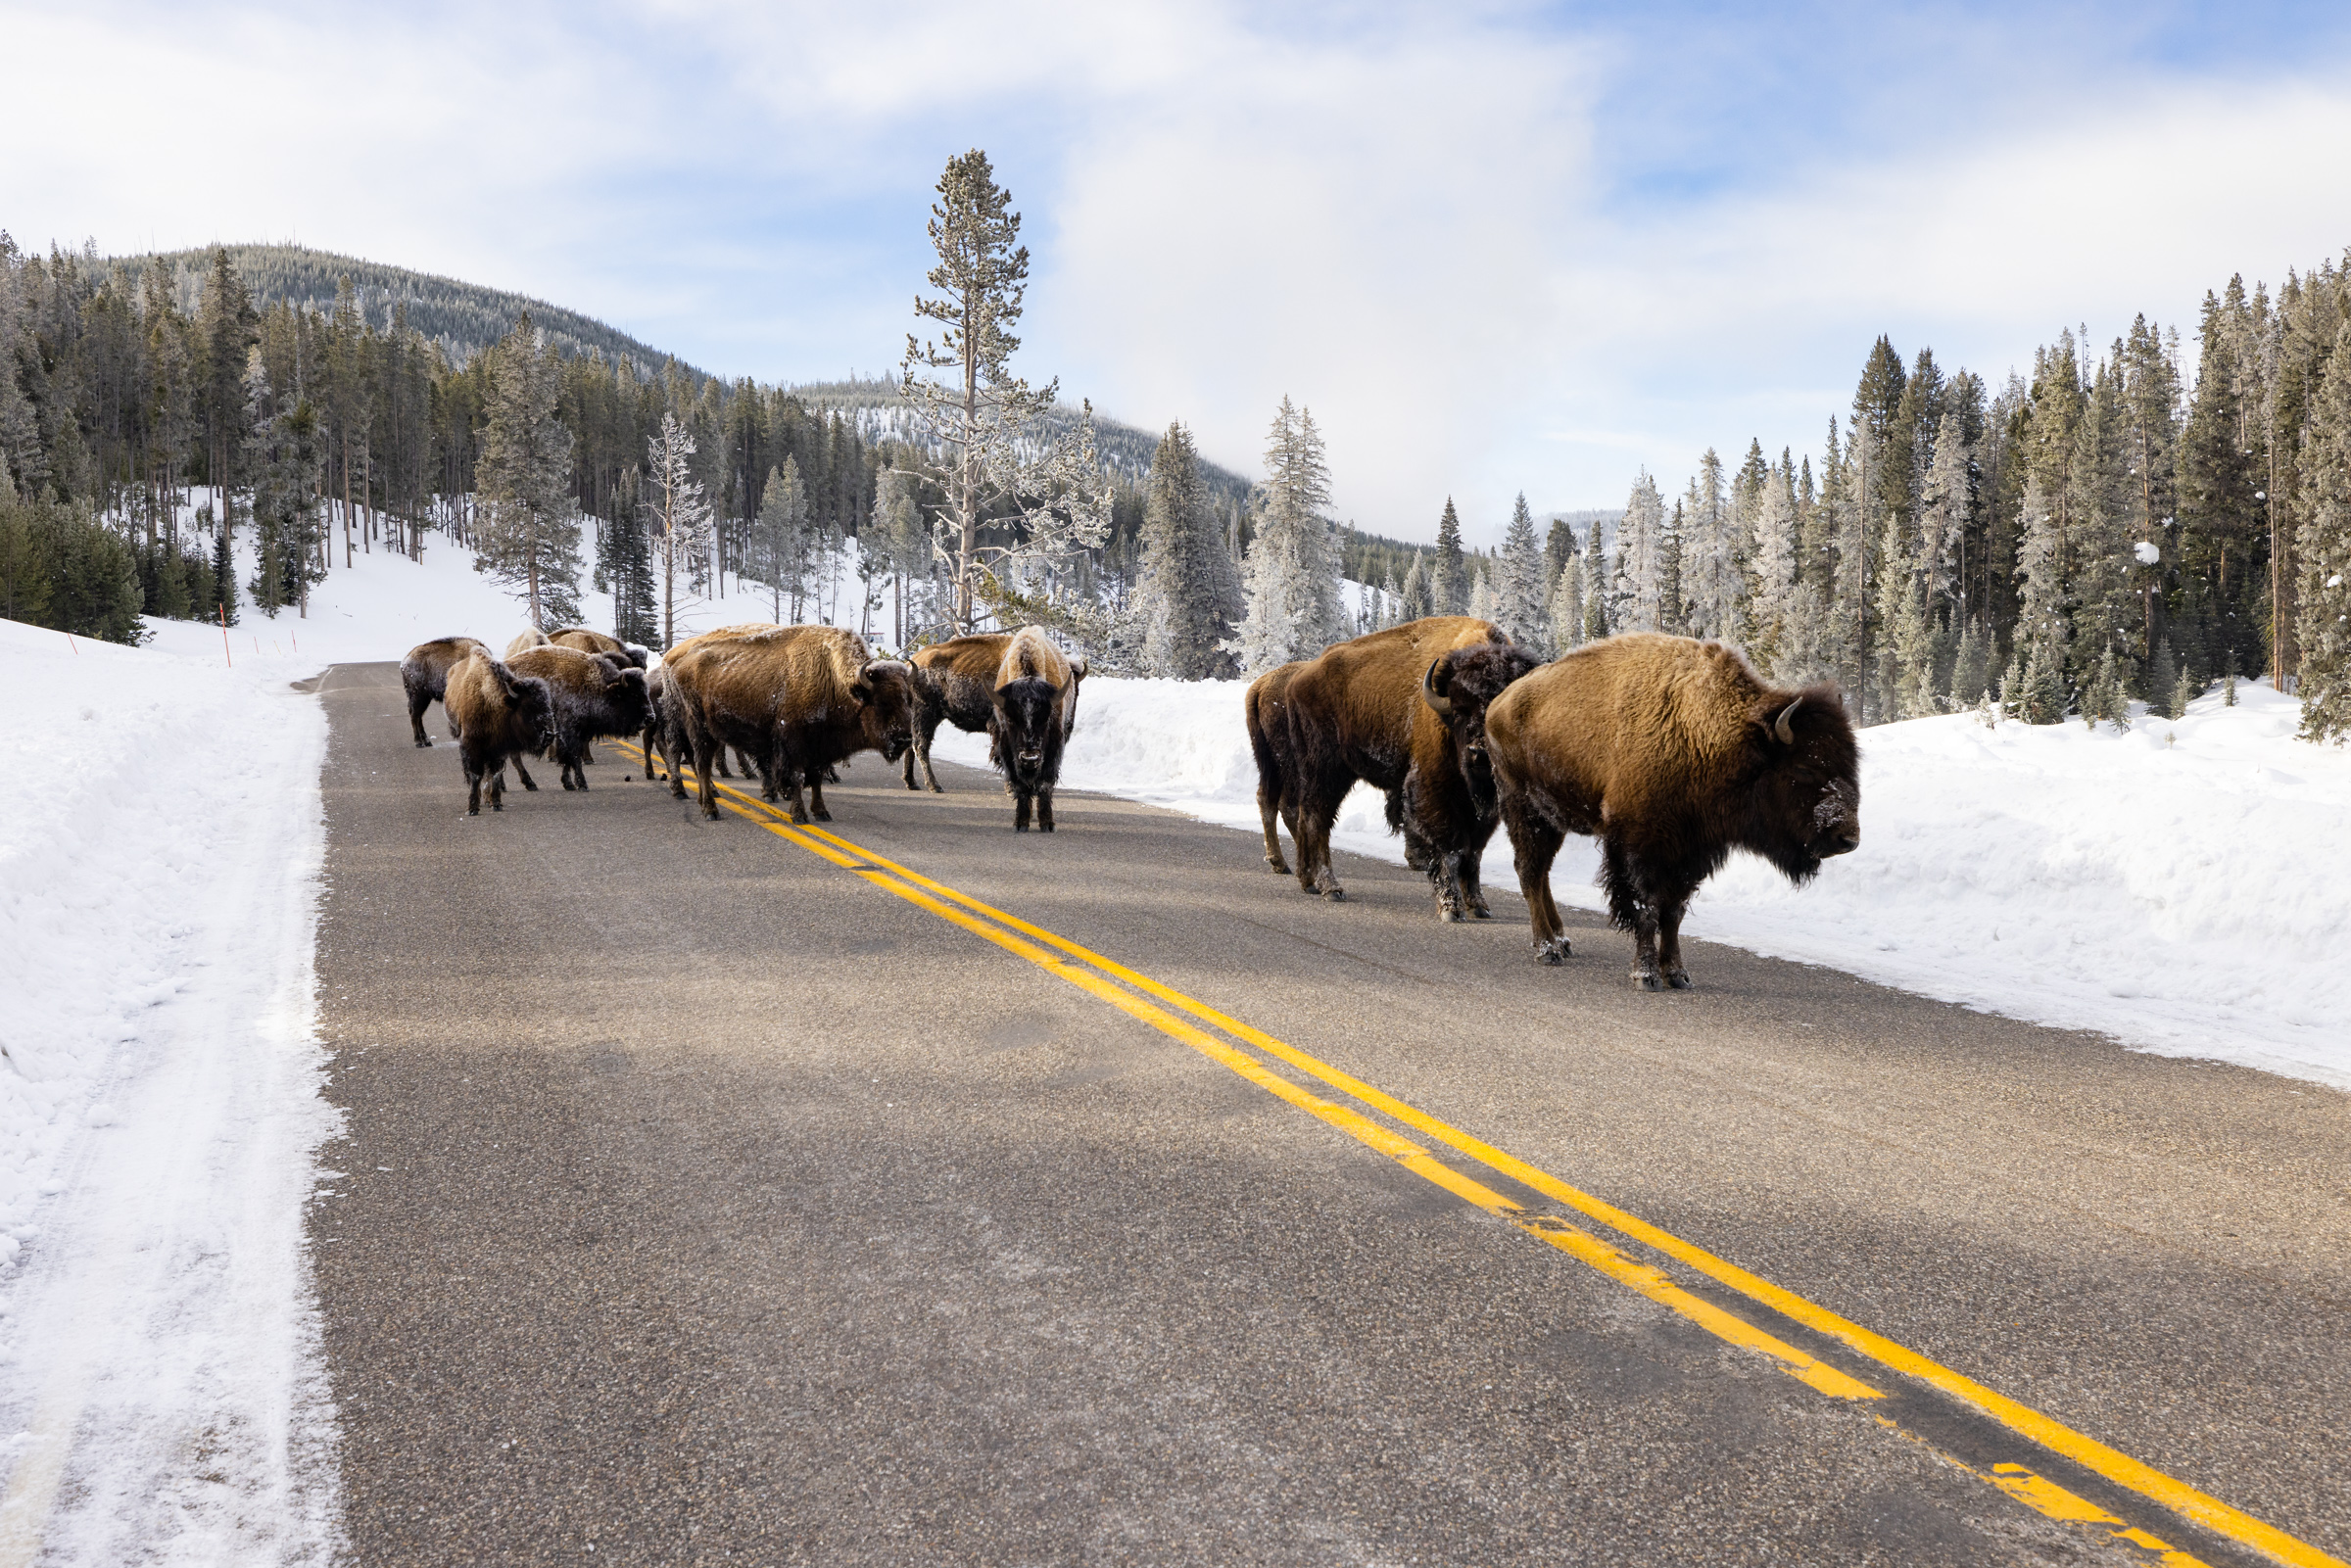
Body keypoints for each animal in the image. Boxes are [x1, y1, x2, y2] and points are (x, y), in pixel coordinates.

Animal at [442, 653, 554, 818]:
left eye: (547, 705)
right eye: (528, 707)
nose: (550, 735)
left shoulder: (498, 749)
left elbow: (494, 774)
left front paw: (496, 803)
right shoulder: (473, 746)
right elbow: (476, 775)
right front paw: (472, 808)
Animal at [507, 643, 653, 789]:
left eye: (646, 692)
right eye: (633, 695)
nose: (650, 717)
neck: (594, 684)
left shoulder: (579, 732)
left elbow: (568, 759)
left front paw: (568, 784)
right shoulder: (569, 731)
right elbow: (574, 757)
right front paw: (582, 784)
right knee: (514, 756)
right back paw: (529, 783)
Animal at [897, 625, 1090, 799]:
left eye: (1075, 690)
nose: (1068, 725)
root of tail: (910, 664)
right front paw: (1012, 789)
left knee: (912, 746)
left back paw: (912, 783)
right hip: (925, 714)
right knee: (921, 746)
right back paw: (934, 786)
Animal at [1270, 615, 1523, 902]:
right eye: (1459, 712)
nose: (1478, 753)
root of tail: (1297, 680)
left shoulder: (1484, 806)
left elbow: (1474, 851)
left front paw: (1478, 904)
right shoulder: (1434, 791)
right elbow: (1450, 845)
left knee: (1305, 817)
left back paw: (1308, 881)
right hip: (1327, 770)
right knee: (1317, 819)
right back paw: (1331, 887)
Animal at [1485, 630, 1852, 987]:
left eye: (1850, 763)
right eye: (1804, 768)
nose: (1847, 838)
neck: (1708, 736)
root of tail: (1497, 705)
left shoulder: (1691, 852)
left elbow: (1673, 913)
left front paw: (1677, 974)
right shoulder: (1640, 849)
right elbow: (1645, 908)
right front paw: (1645, 975)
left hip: (1552, 818)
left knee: (1543, 872)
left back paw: (1561, 941)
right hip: (1524, 809)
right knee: (1530, 872)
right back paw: (1547, 948)